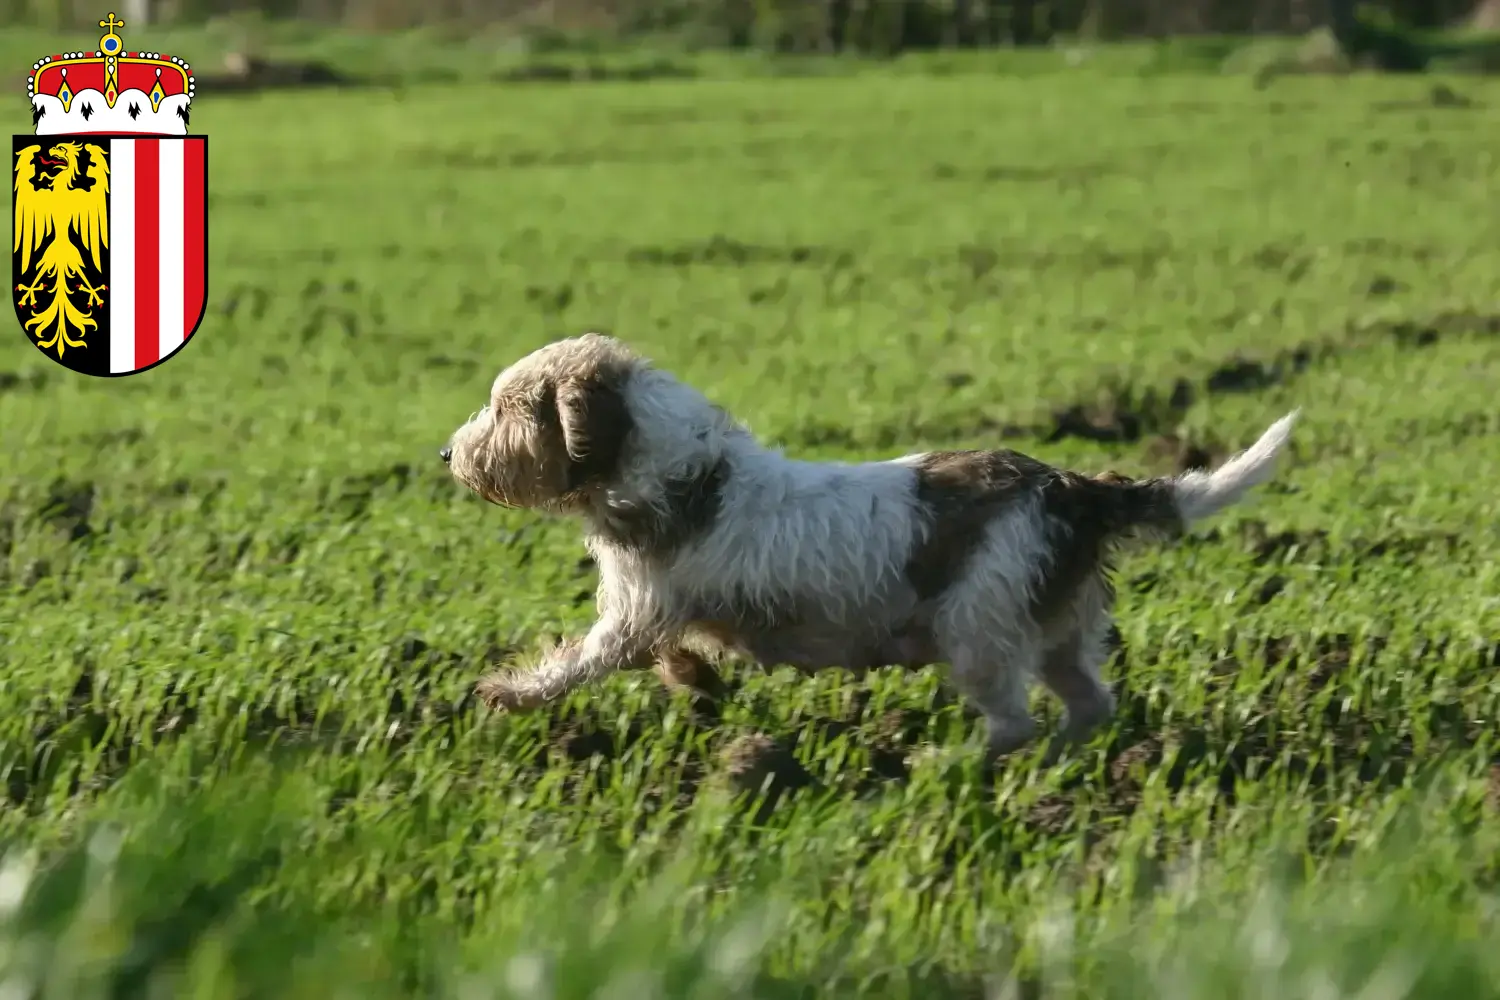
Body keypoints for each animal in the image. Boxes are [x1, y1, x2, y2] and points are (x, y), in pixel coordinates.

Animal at [438, 334, 1296, 758]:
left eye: (508, 407)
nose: (447, 455)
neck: (681, 470)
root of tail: (1073, 487)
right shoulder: (660, 613)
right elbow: (670, 654)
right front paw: (696, 681)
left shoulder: (633, 612)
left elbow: (580, 661)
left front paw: (507, 692)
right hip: (1054, 623)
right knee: (1088, 699)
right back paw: (1069, 758)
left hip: (979, 626)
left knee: (1013, 720)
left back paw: (955, 762)